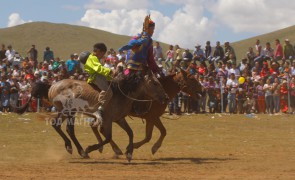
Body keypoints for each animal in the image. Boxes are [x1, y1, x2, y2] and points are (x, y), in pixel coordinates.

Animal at [14, 71, 169, 160]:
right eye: (155, 83)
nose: (166, 97)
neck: (122, 93)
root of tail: (51, 85)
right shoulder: (107, 120)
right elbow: (108, 137)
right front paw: (92, 148)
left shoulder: (119, 119)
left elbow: (130, 133)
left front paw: (129, 152)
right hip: (68, 112)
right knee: (68, 129)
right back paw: (82, 151)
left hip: (65, 112)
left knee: (58, 126)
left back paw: (73, 148)